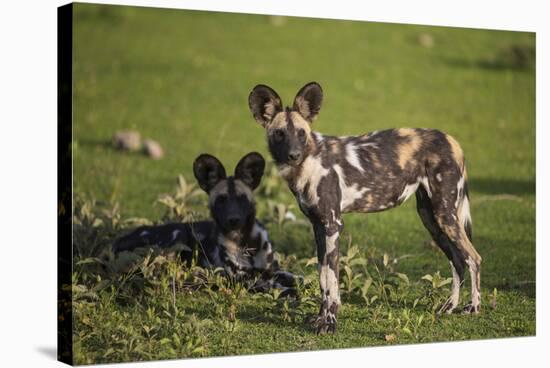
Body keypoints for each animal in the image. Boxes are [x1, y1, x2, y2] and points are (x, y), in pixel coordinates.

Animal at [112, 152, 300, 296]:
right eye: (221, 200)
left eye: (242, 198)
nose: (233, 220)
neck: (245, 240)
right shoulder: (240, 277)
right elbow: (269, 284)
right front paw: (286, 291)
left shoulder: (271, 269)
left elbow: (292, 276)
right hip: (178, 236)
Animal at [249, 82, 484, 334]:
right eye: (280, 133)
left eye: (301, 133)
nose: (294, 155)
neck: (308, 164)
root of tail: (450, 139)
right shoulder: (318, 228)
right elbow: (323, 278)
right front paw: (320, 319)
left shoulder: (333, 225)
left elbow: (332, 281)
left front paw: (329, 322)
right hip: (431, 219)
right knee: (458, 260)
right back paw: (449, 306)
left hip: (445, 216)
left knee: (474, 258)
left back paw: (473, 307)